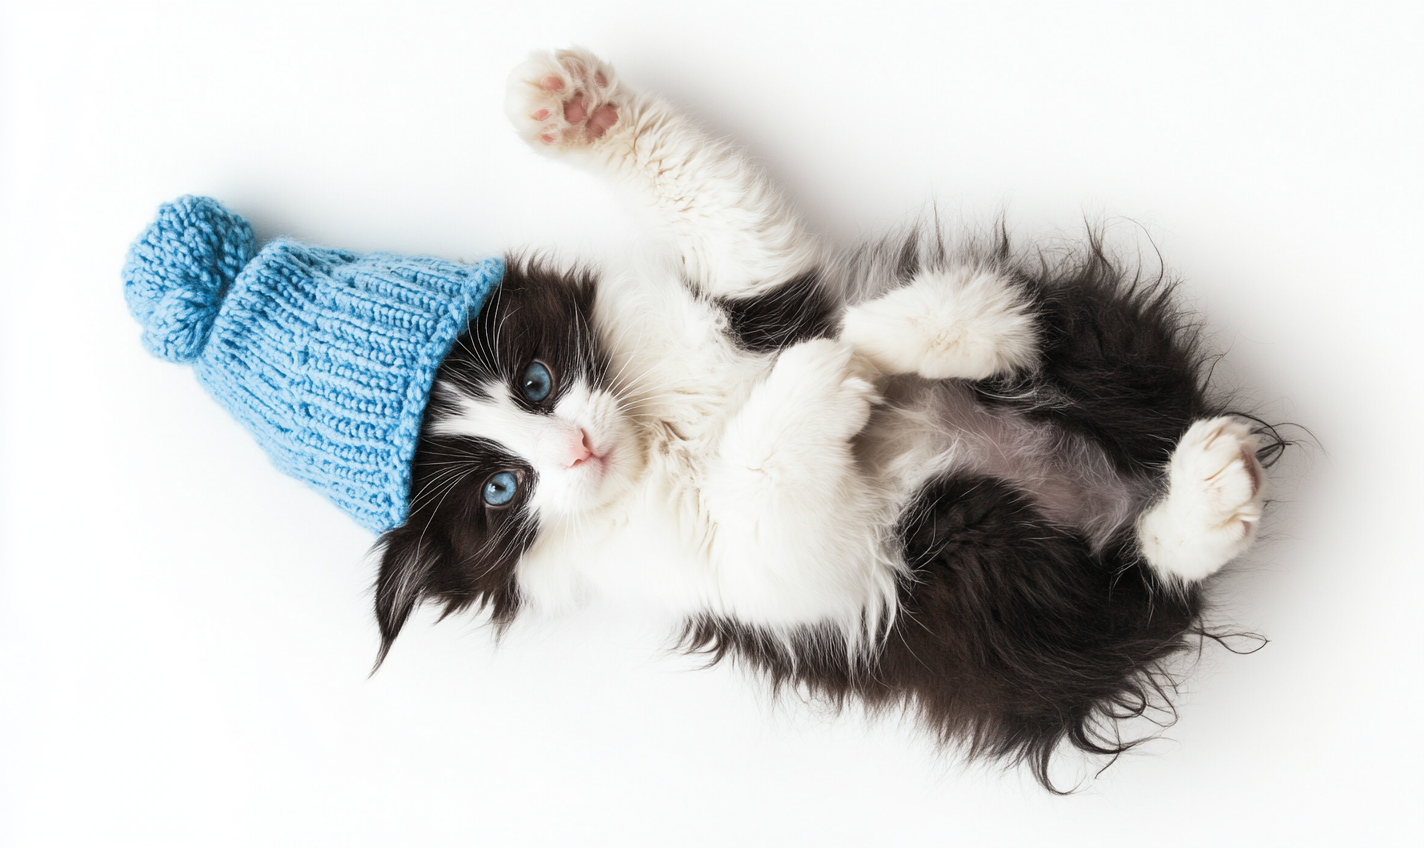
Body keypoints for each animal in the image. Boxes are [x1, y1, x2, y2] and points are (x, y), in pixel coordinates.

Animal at [370, 44, 1281, 791]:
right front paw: (829, 372)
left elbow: (731, 217)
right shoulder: (771, 573)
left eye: (535, 380)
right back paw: (1210, 499)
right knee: (1143, 577)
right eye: (500, 490)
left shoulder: (760, 292)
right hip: (977, 577)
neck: (656, 427)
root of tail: (1111, 494)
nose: (578, 446)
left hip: (1093, 335)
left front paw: (573, 107)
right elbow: (767, 479)